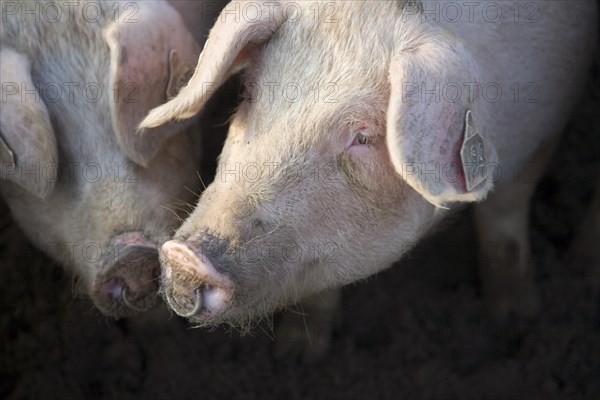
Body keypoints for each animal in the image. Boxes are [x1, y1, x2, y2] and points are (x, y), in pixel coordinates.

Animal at [143, 0, 596, 338]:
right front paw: (297, 353)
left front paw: (515, 321)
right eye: (251, 93)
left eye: (362, 136)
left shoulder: (546, 126)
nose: (184, 258)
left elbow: (504, 222)